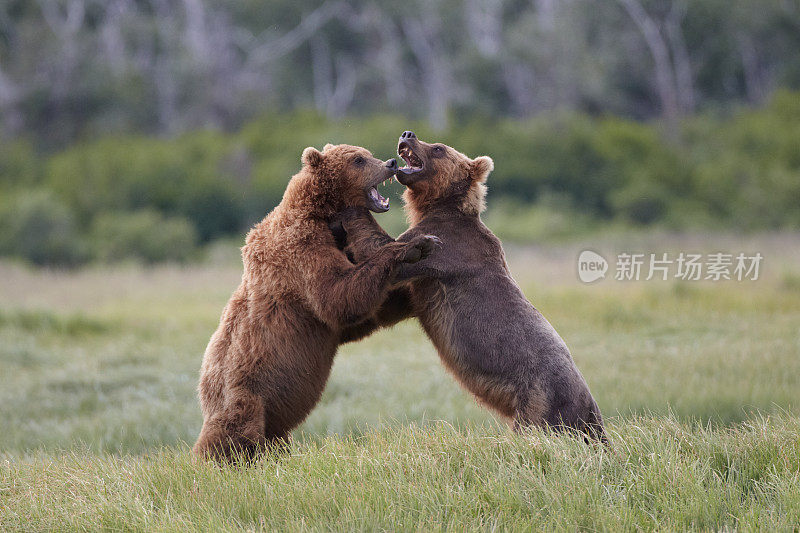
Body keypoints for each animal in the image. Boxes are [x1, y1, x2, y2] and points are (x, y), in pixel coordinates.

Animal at [195, 143, 438, 460]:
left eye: (367, 153)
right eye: (358, 160)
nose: (390, 163)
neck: (324, 217)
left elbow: (361, 313)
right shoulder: (301, 250)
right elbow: (337, 297)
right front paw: (415, 245)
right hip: (243, 393)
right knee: (233, 431)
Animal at [332, 132, 608, 440]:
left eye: (438, 148)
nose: (408, 134)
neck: (438, 206)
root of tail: (591, 410)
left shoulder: (448, 248)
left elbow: (385, 248)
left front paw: (351, 207)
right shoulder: (423, 286)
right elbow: (390, 297)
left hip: (540, 399)